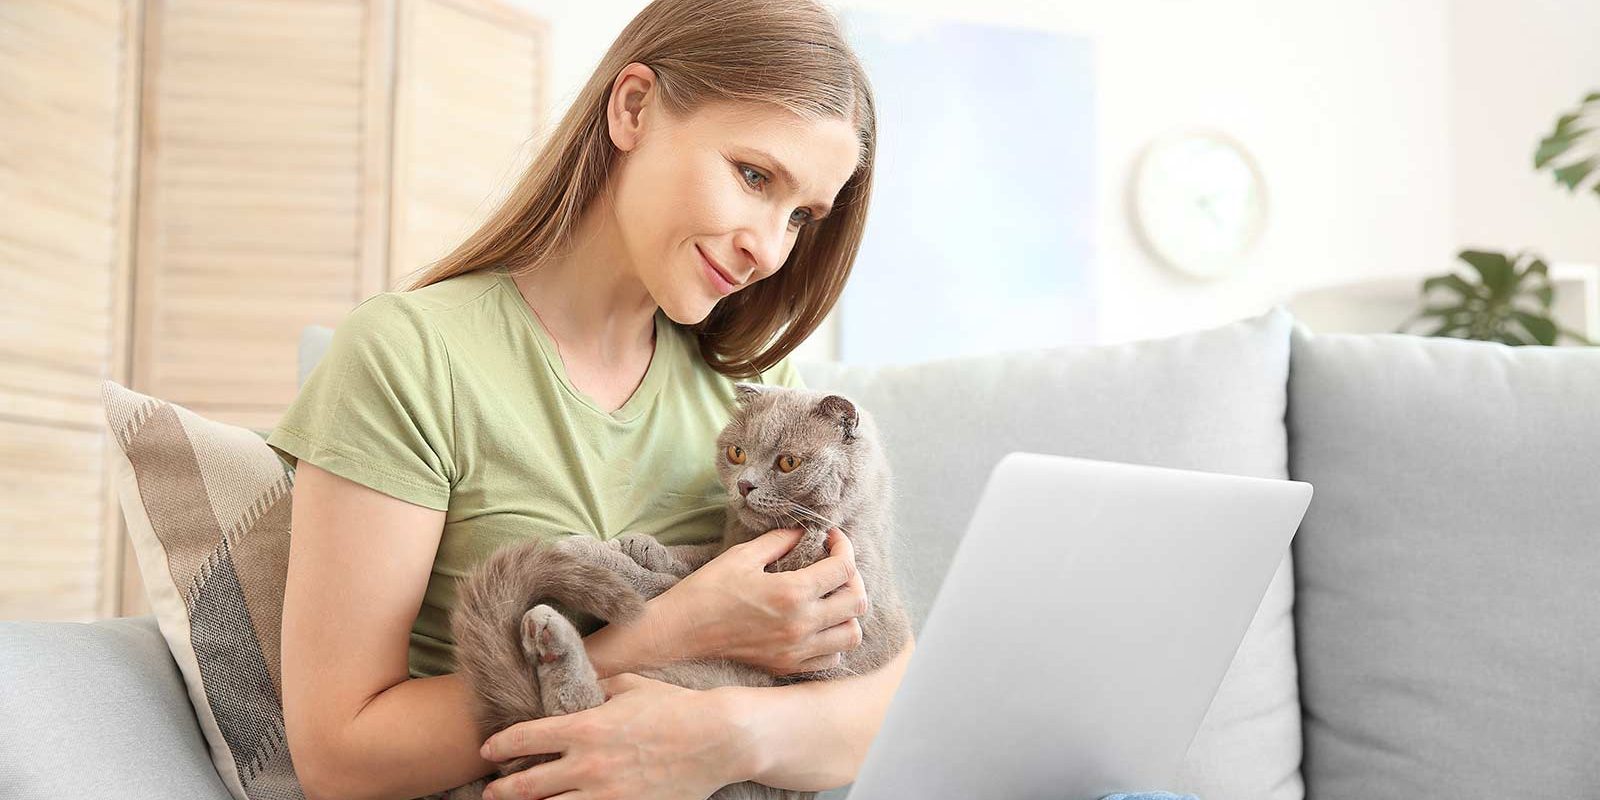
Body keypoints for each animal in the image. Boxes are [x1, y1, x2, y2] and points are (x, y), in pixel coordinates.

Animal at [438, 382, 915, 800]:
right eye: (737, 452)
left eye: (788, 463)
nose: (745, 485)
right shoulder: (728, 547)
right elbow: (700, 559)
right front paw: (640, 546)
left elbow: (670, 586)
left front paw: (601, 552)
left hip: (710, 682)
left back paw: (550, 635)